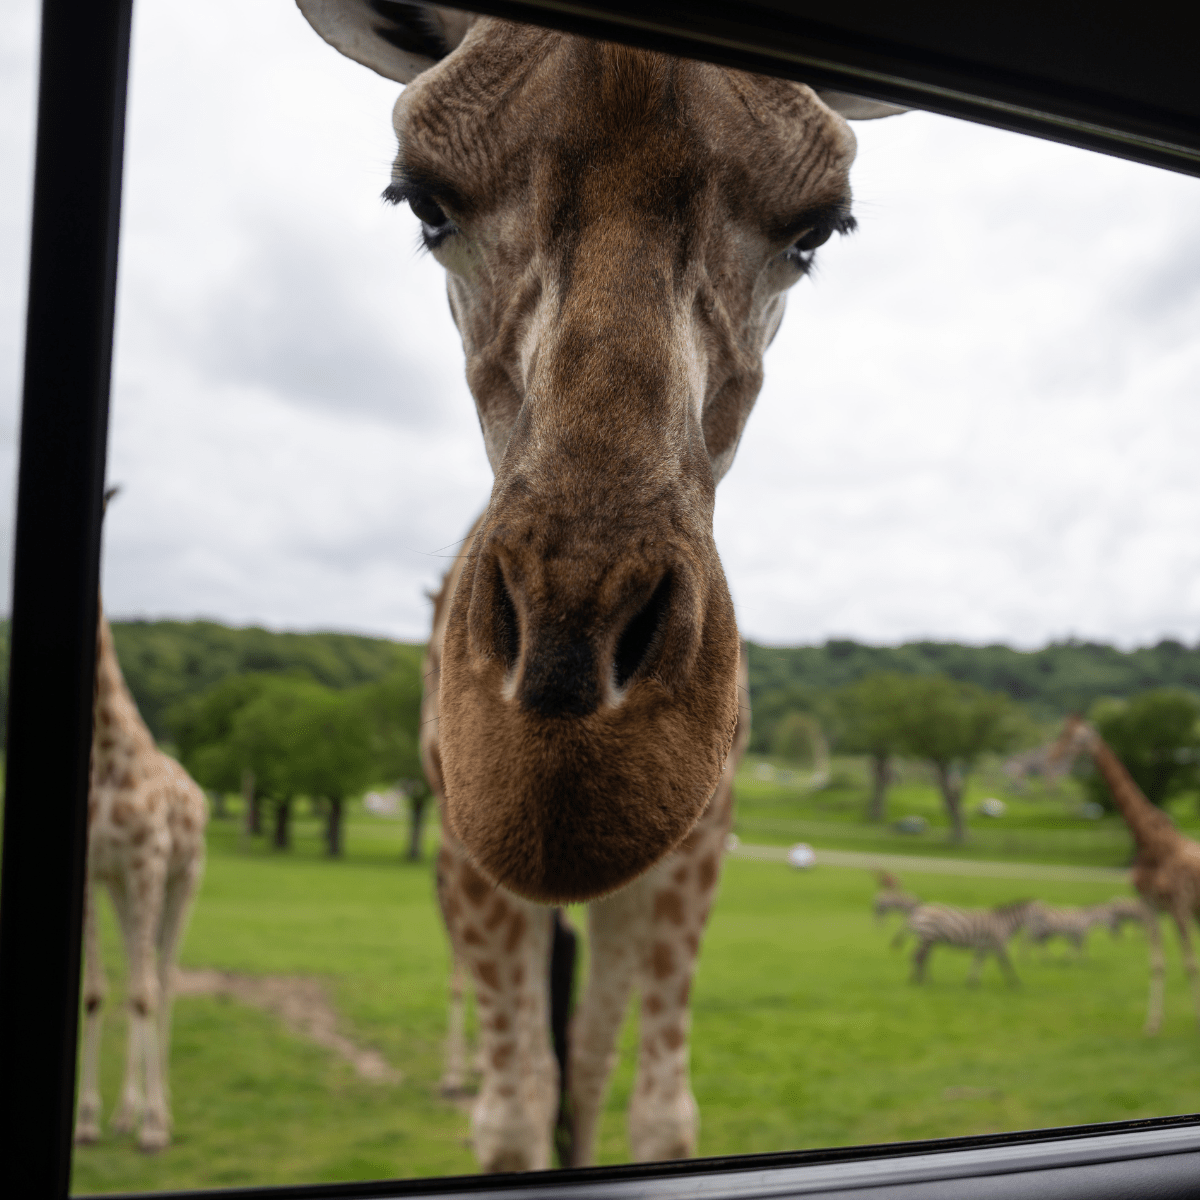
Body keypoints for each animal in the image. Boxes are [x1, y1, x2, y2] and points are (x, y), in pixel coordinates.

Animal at [296, 0, 902, 1170]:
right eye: (422, 201)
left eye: (818, 231)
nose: (558, 768)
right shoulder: (474, 859)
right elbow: (515, 1108)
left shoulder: (691, 852)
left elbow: (647, 1100)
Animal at [1051, 715, 1200, 1034]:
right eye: (1062, 733)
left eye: (1079, 738)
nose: (1055, 756)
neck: (1151, 844)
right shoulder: (1150, 906)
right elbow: (1157, 964)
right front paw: (1152, 1025)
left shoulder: (1179, 905)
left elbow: (1191, 964)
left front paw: (1195, 1020)